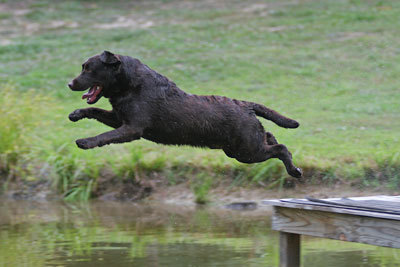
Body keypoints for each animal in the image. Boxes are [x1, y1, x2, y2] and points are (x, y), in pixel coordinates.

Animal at [68, 51, 300, 179]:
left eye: (88, 69)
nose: (70, 83)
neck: (130, 84)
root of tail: (246, 105)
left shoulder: (132, 129)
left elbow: (104, 137)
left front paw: (85, 142)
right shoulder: (119, 119)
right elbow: (94, 110)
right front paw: (76, 114)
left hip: (246, 151)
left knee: (281, 148)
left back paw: (295, 171)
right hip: (242, 148)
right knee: (270, 136)